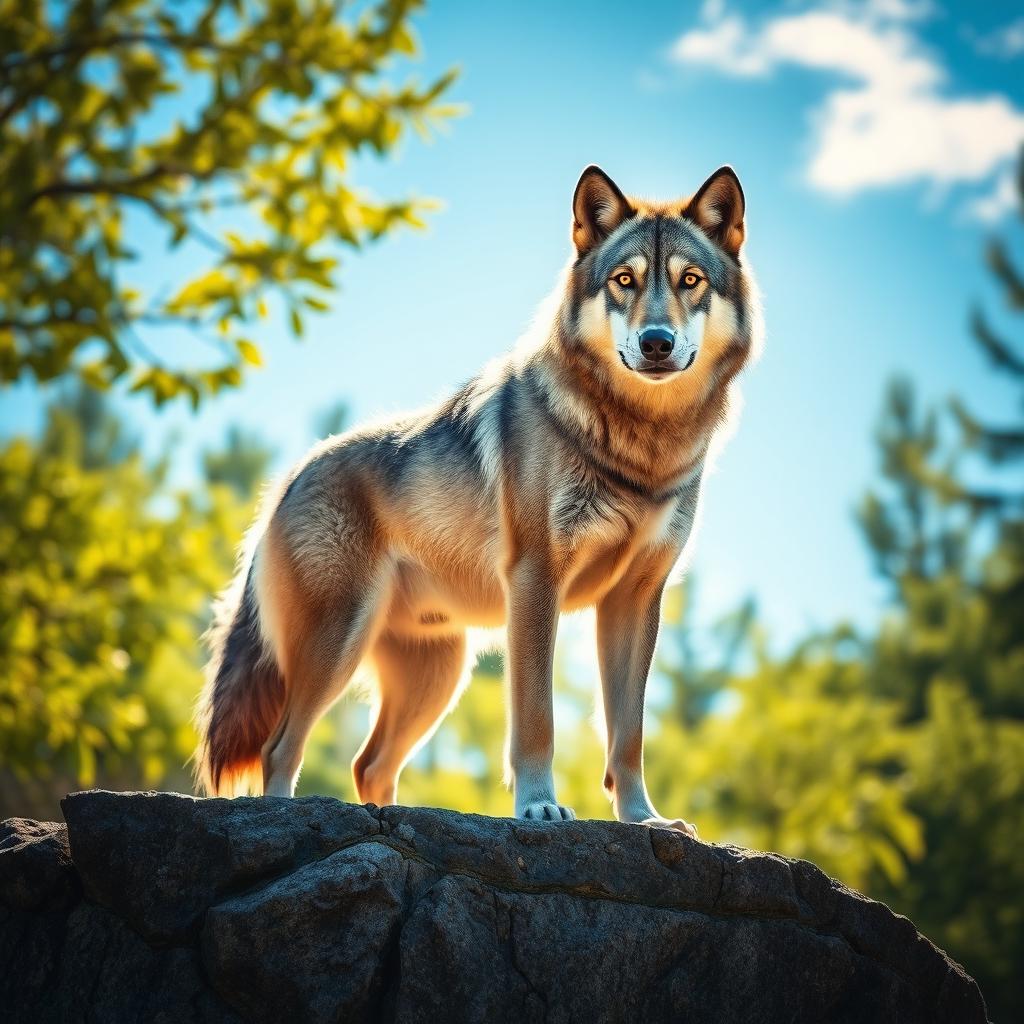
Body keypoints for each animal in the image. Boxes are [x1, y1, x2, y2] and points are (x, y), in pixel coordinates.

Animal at [193, 161, 761, 831]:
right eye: (625, 280)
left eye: (689, 280)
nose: (655, 342)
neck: (640, 448)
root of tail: (289, 477)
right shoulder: (536, 582)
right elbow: (537, 719)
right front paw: (540, 806)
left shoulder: (636, 599)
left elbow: (628, 735)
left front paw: (644, 819)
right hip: (340, 647)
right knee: (281, 750)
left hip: (437, 675)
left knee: (368, 765)